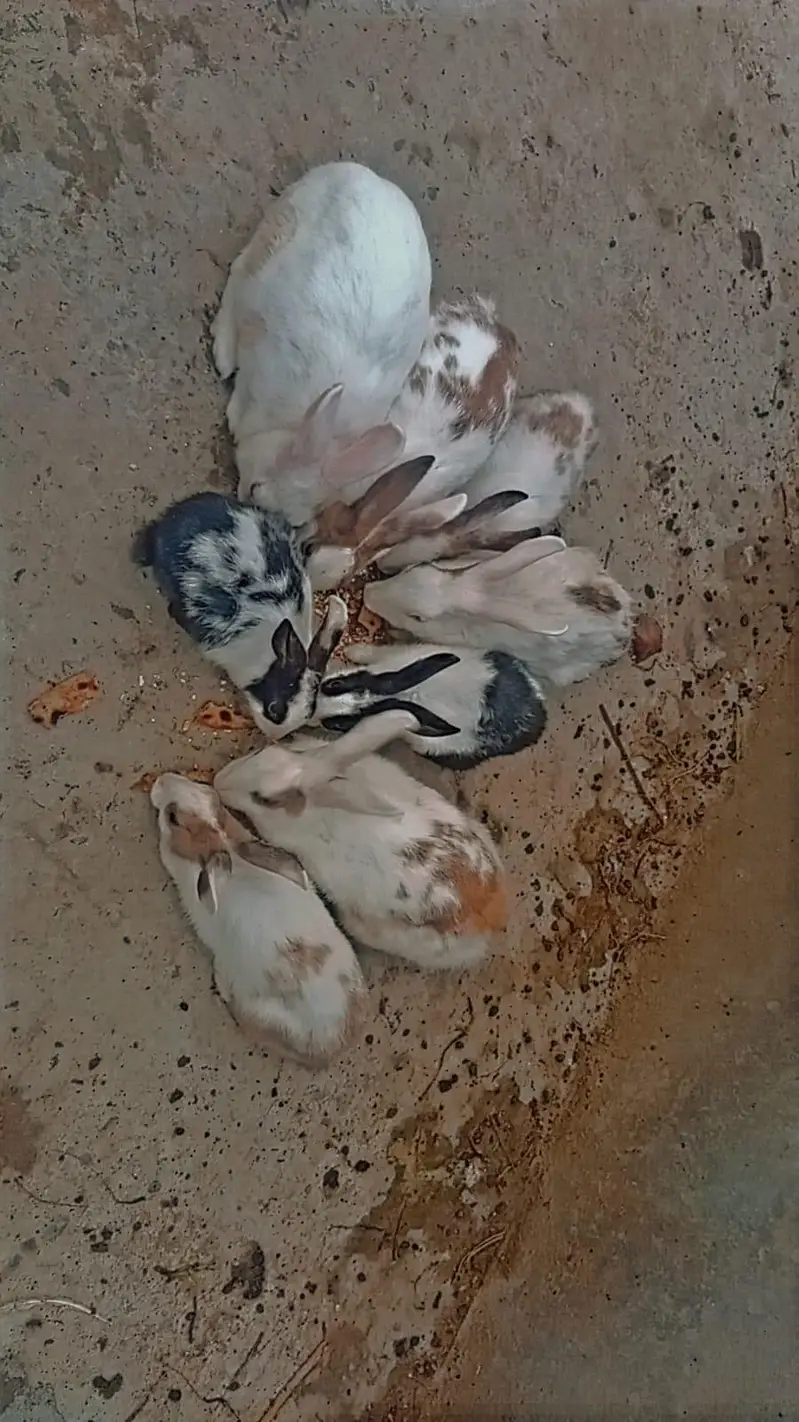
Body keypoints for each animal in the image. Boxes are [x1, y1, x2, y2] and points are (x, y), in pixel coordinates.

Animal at [211, 161, 431, 517]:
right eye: (256, 488)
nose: (242, 495)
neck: (293, 425)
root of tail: (358, 173)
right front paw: (232, 415)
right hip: (275, 242)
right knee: (240, 270)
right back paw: (224, 353)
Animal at [316, 643, 547, 770]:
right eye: (335, 684)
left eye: (340, 724)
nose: (315, 711)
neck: (399, 695)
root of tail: (538, 714)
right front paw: (354, 651)